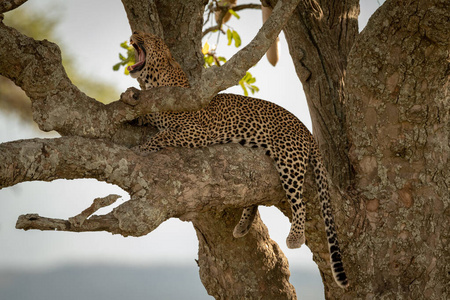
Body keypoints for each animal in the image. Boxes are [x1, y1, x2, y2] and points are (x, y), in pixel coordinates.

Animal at [128, 30, 350, 288]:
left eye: (150, 37)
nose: (135, 33)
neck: (158, 84)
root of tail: (306, 129)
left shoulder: (197, 132)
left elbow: (163, 135)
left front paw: (143, 147)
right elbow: (150, 120)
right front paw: (135, 120)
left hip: (289, 159)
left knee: (300, 201)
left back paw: (295, 237)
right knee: (252, 197)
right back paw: (243, 226)